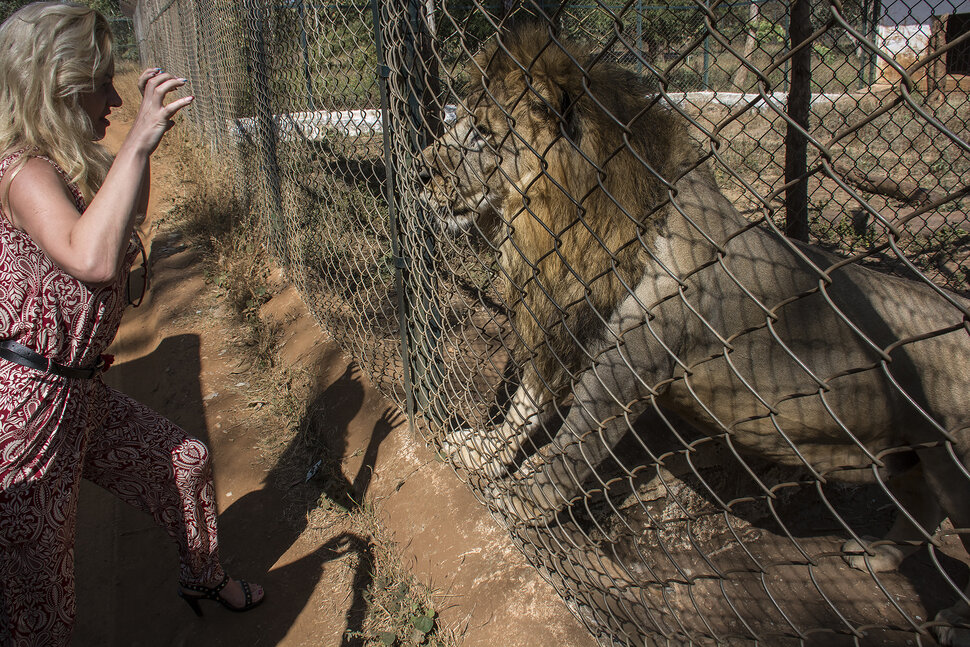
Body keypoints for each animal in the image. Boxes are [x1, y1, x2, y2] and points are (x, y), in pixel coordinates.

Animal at [420, 22, 968, 644]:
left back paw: (952, 620)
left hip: (959, 469)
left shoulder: (624, 371)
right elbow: (524, 407)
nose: (416, 171)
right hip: (913, 457)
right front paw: (478, 451)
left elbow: (565, 456)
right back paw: (879, 555)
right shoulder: (567, 319)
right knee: (921, 508)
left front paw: (512, 503)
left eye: (482, 134)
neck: (565, 224)